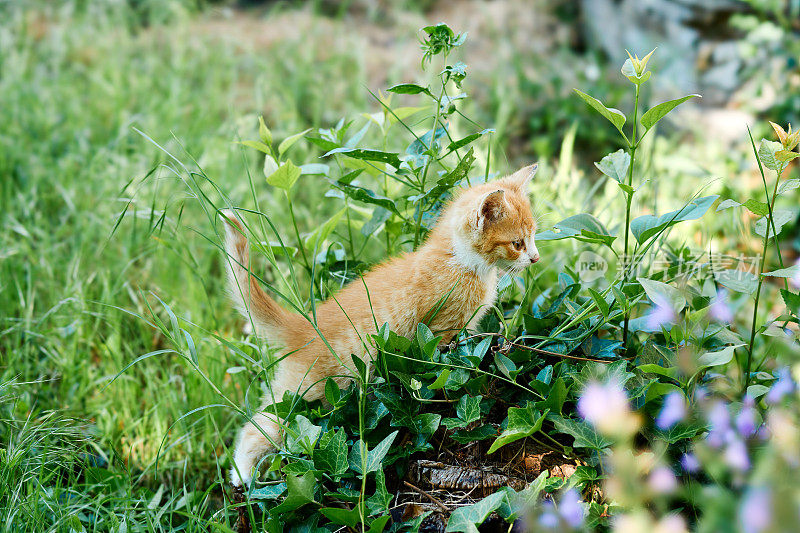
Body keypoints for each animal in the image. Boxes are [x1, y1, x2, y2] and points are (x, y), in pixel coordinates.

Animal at [222, 163, 540, 486]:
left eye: (534, 237)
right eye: (517, 244)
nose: (536, 258)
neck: (458, 260)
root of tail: (303, 325)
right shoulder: (440, 333)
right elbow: (445, 370)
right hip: (306, 393)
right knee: (260, 426)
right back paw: (242, 478)